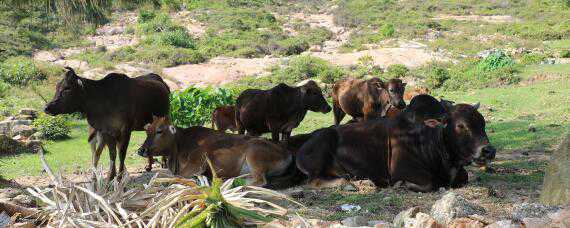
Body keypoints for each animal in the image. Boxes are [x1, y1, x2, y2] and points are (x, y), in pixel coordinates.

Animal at [138, 116, 292, 186]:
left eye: (159, 130)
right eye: (147, 130)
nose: (141, 150)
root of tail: (286, 152)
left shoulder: (197, 163)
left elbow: (177, 177)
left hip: (253, 155)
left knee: (260, 181)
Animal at [296, 100, 494, 191]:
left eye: (483, 123)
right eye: (461, 126)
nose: (488, 150)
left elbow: (464, 177)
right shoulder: (402, 170)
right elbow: (430, 183)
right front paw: (402, 184)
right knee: (314, 181)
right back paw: (351, 183)